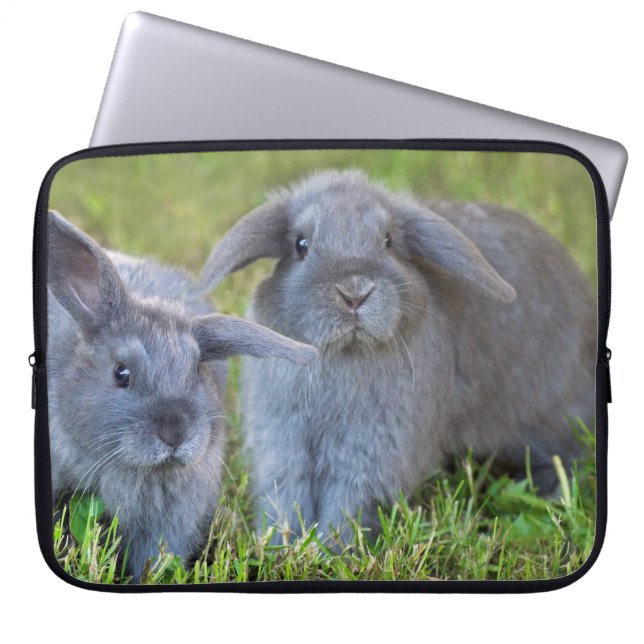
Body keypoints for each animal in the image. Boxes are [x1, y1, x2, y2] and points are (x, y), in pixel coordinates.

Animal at [197, 169, 596, 544]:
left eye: (388, 242)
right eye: (301, 245)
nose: (355, 292)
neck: (343, 354)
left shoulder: (375, 450)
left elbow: (350, 501)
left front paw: (330, 548)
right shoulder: (283, 441)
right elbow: (286, 493)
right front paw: (280, 542)